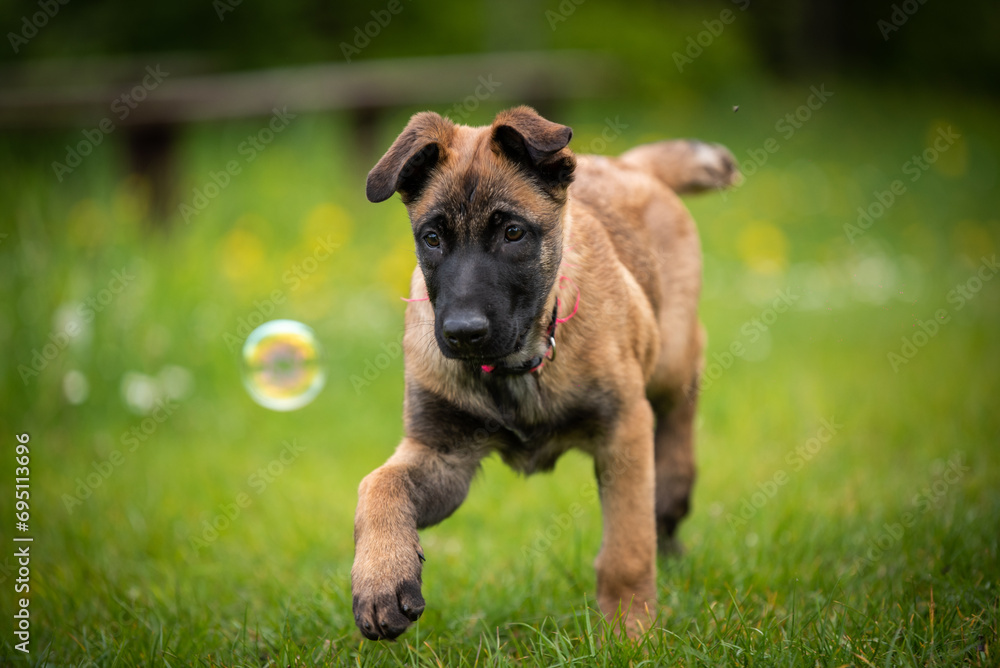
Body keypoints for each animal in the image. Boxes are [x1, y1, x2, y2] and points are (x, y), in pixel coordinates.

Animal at [350, 107, 736, 640]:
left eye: (513, 233)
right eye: (432, 239)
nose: (461, 333)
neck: (517, 368)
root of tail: (629, 164)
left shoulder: (623, 430)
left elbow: (627, 549)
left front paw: (629, 632)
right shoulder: (443, 454)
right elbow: (377, 484)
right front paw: (381, 579)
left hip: (671, 358)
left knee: (681, 409)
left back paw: (673, 494)